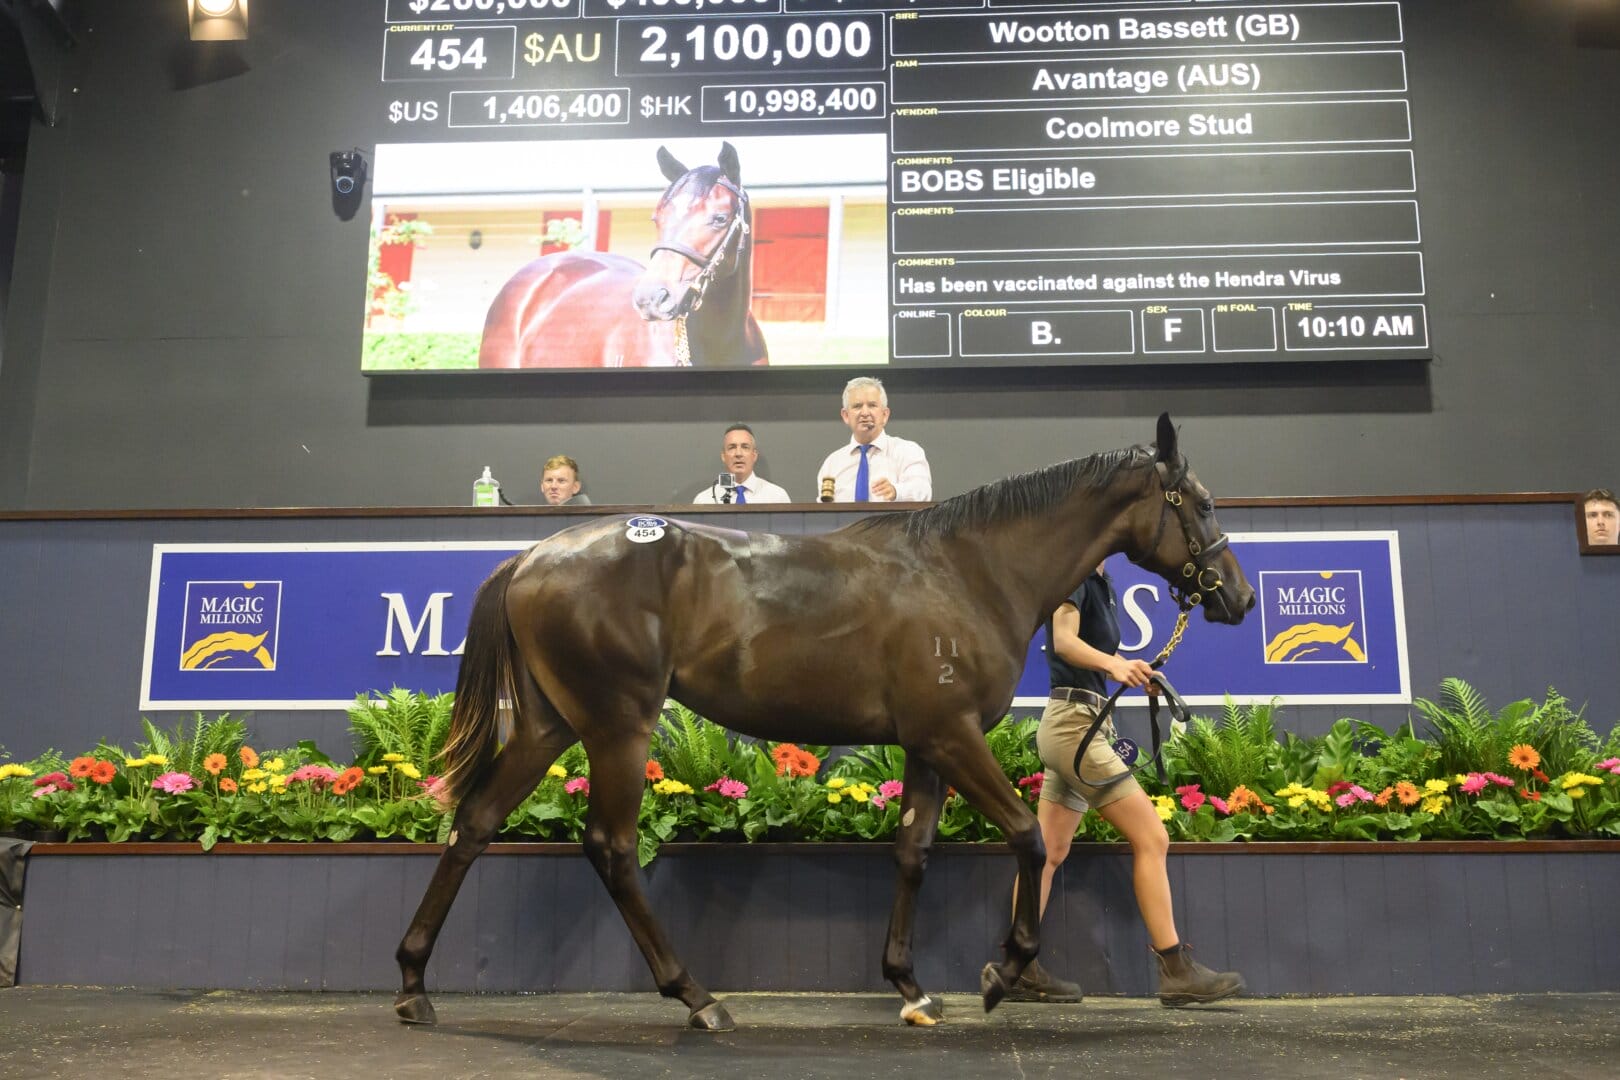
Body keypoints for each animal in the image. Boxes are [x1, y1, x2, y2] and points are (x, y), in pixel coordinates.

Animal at [394, 414, 1254, 1030]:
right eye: (1199, 501)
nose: (1238, 596)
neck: (968, 572)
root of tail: (532, 558)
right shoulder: (952, 734)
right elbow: (1028, 837)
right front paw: (1003, 975)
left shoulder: (926, 744)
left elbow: (913, 851)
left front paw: (910, 986)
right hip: (616, 724)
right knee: (609, 846)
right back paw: (697, 997)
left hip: (551, 724)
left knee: (474, 822)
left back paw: (412, 982)